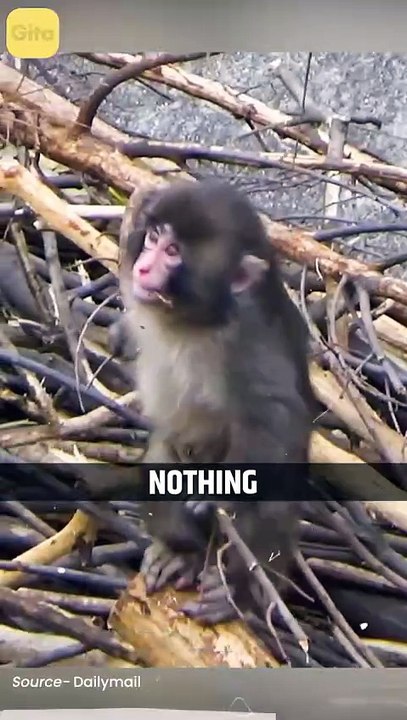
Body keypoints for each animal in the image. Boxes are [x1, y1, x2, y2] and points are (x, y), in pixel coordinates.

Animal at [117, 178, 314, 625]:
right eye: (154, 237)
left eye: (173, 252)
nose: (143, 267)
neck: (193, 321)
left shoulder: (246, 338)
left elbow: (277, 416)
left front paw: (218, 495)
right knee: (163, 457)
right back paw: (182, 553)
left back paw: (238, 587)